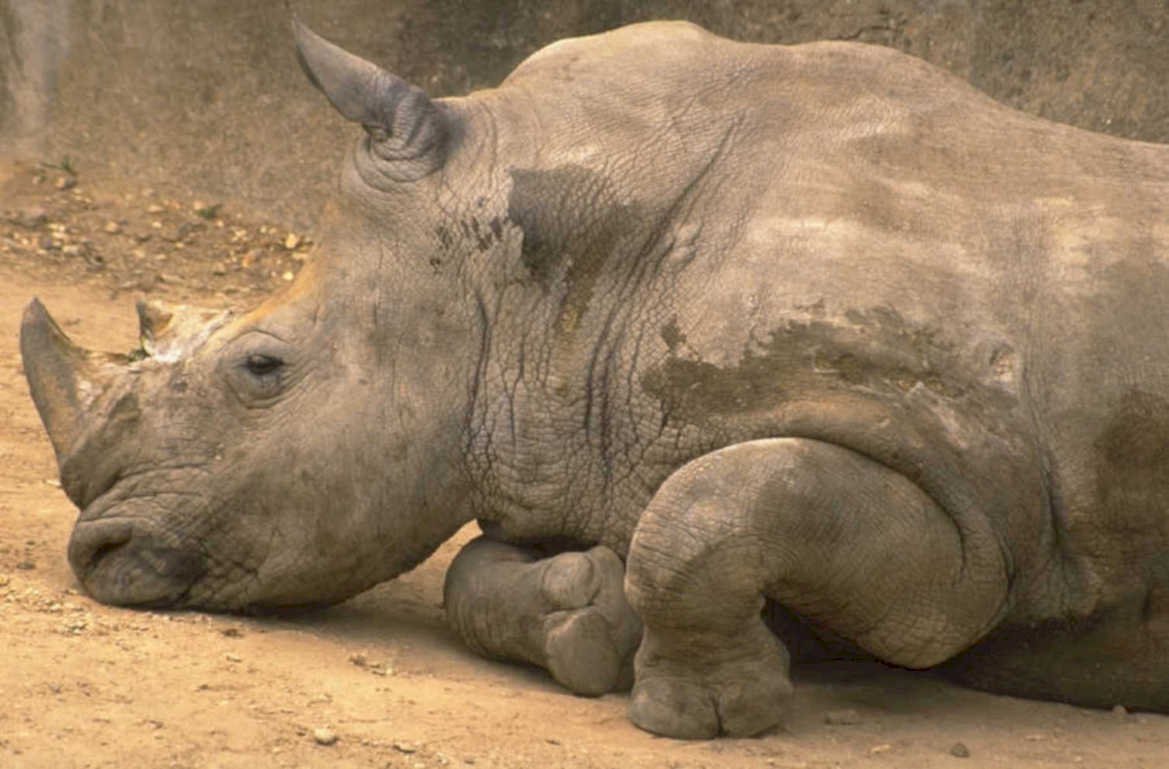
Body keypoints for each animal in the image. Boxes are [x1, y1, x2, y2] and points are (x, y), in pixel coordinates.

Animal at [19, 19, 1169, 739]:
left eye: (262, 368)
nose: (99, 553)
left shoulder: (976, 509)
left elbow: (701, 513)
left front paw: (708, 717)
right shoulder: (565, 431)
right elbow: (486, 567)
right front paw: (588, 619)